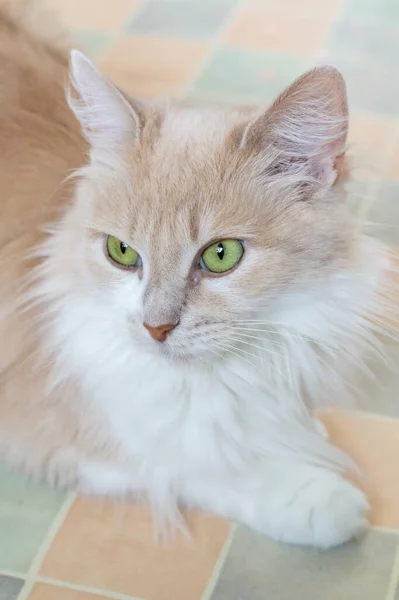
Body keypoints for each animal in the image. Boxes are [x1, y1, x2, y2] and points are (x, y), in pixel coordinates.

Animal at [0, 0, 396, 552]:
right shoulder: (62, 433)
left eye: (221, 256)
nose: (155, 328)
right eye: (122, 252)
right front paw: (317, 498)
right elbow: (199, 464)